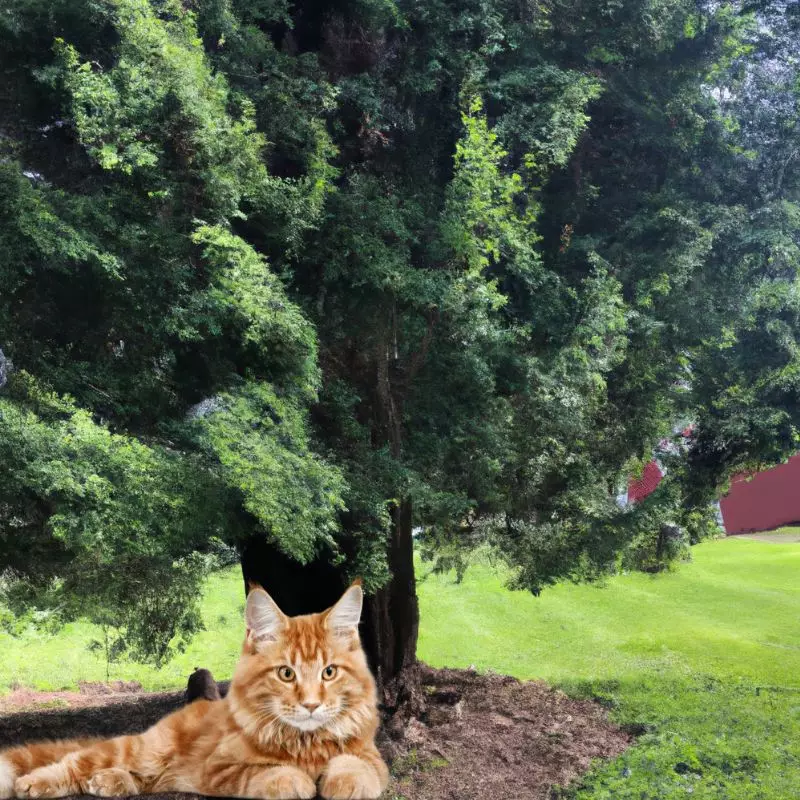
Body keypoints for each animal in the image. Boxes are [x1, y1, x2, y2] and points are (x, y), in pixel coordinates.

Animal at [0, 580, 388, 800]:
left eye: (329, 672)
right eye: (286, 674)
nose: (310, 705)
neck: (305, 743)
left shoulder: (370, 755)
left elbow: (357, 767)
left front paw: (345, 782)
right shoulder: (220, 769)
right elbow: (268, 773)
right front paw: (296, 780)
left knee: (140, 781)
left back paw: (109, 782)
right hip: (140, 750)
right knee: (72, 763)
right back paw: (34, 784)